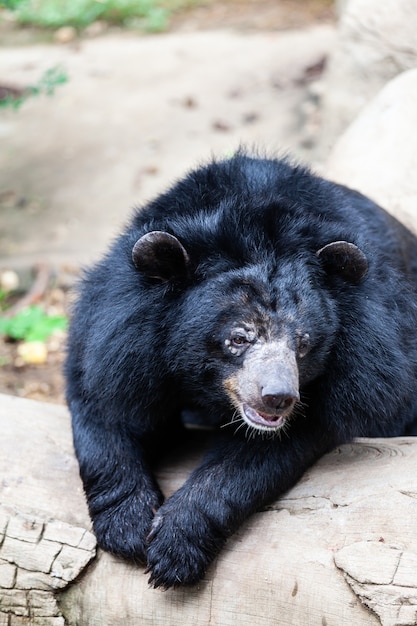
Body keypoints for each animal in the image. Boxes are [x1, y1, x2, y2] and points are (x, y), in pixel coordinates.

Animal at [66, 151, 417, 584]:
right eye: (238, 338)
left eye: (303, 344)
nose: (279, 398)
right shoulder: (117, 331)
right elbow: (101, 407)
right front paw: (126, 527)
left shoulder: (362, 368)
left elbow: (259, 454)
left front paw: (174, 546)